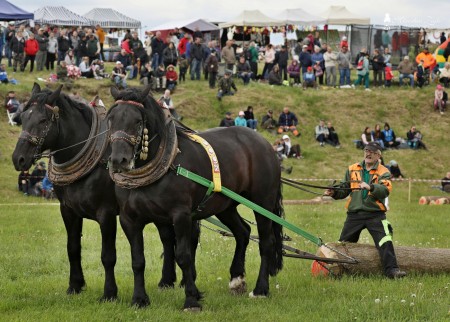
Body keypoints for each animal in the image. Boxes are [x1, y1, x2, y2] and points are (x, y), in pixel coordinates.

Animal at [11, 84, 193, 300]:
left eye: (43, 120)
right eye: (23, 118)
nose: (19, 159)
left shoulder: (106, 213)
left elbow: (108, 255)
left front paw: (109, 293)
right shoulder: (68, 211)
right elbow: (72, 248)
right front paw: (75, 285)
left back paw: (184, 281)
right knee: (167, 238)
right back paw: (167, 280)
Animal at [108, 85, 284, 310]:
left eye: (138, 121)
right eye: (111, 119)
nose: (118, 160)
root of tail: (265, 143)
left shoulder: (181, 215)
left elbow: (183, 256)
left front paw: (191, 299)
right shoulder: (129, 219)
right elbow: (138, 260)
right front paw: (139, 299)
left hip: (263, 202)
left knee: (267, 242)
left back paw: (261, 289)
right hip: (225, 205)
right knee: (243, 232)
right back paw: (237, 278)